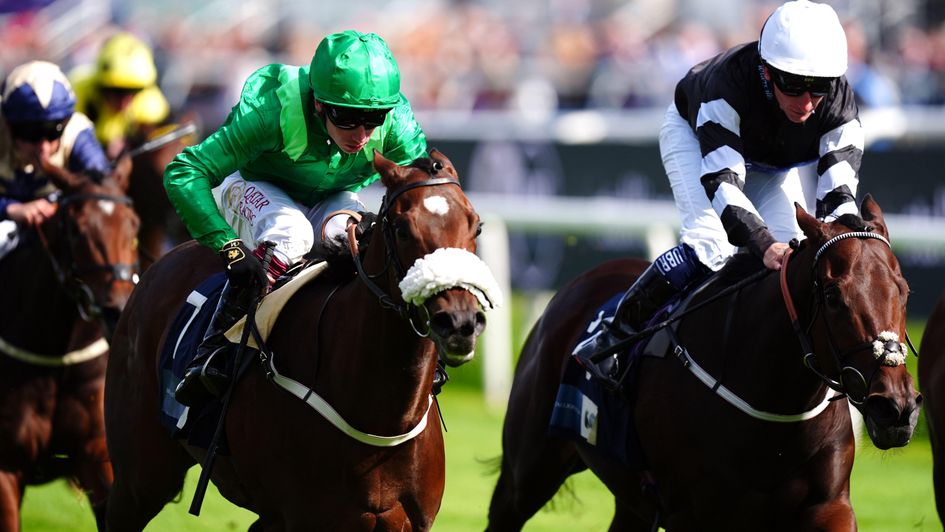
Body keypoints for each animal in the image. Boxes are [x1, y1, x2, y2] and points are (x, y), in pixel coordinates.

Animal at [103, 151, 502, 532]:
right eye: (403, 229)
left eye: (476, 225)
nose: (460, 322)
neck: (382, 415)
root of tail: (160, 261)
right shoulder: (304, 519)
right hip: (140, 479)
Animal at [490, 196, 920, 532]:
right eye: (832, 294)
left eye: (904, 290)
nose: (896, 407)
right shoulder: (693, 516)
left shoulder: (828, 506)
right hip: (529, 468)